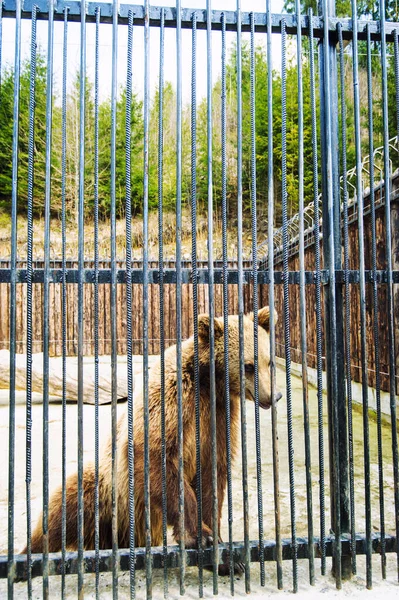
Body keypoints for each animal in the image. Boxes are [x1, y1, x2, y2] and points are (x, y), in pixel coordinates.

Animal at [25, 308, 282, 576]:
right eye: (248, 366)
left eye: (269, 362)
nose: (274, 395)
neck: (209, 384)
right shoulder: (172, 401)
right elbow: (156, 459)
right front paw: (202, 536)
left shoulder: (220, 418)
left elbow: (213, 477)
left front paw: (226, 557)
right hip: (104, 485)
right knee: (63, 509)